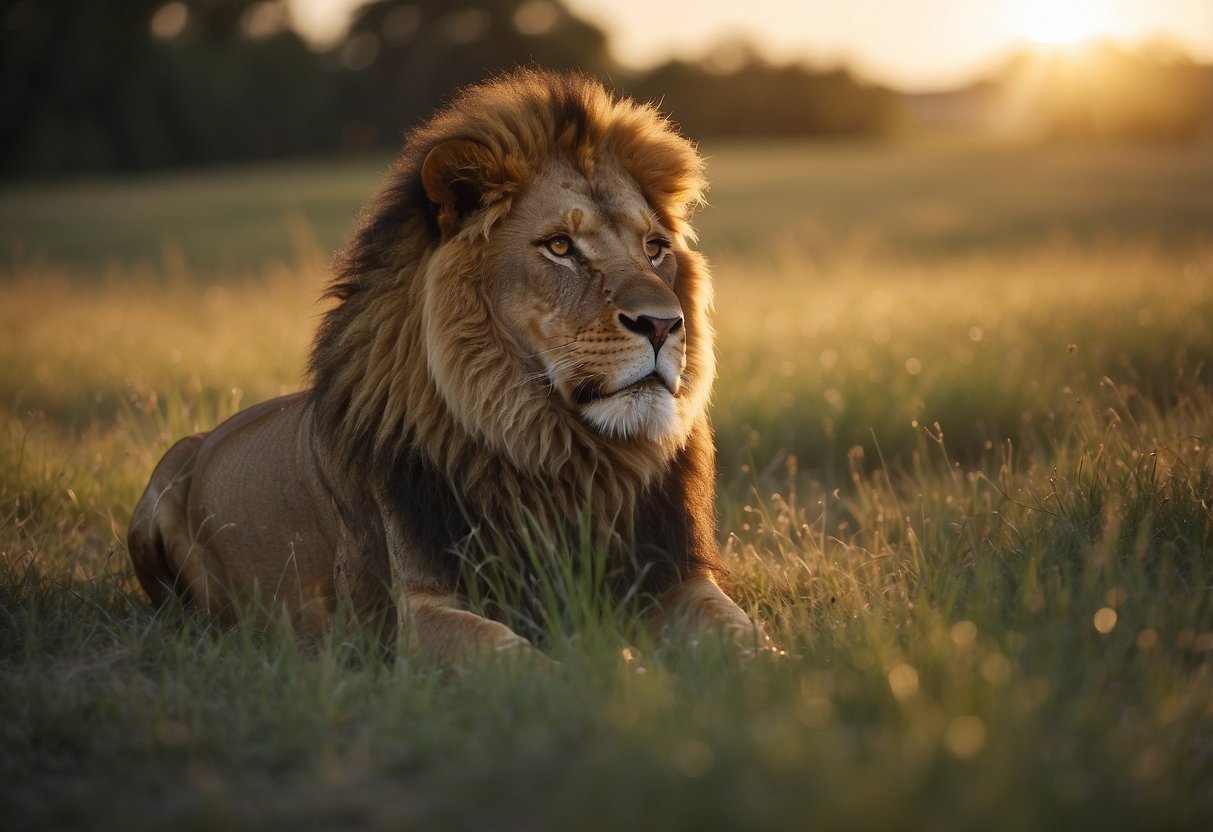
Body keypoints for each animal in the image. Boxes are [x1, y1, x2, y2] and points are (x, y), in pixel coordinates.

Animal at [127, 68, 761, 664]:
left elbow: (746, 637)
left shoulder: (672, 577)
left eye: (654, 248)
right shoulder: (412, 617)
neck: (561, 454)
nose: (664, 325)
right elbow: (514, 661)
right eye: (560, 246)